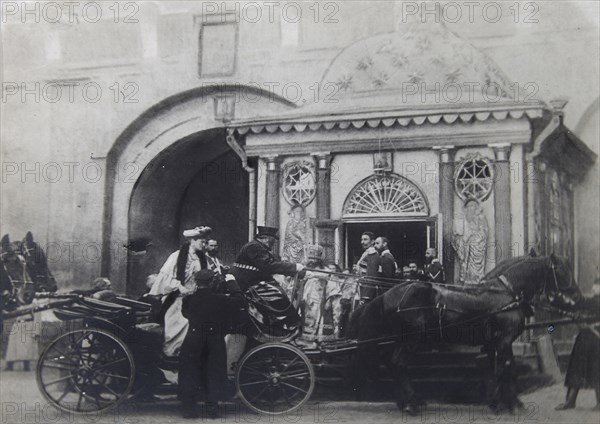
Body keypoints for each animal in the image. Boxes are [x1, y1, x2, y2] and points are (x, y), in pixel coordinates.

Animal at [346, 253, 580, 412]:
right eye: (561, 270)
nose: (577, 297)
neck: (505, 293)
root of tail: (388, 294)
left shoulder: (492, 343)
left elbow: (494, 369)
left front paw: (496, 402)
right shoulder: (505, 340)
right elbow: (508, 367)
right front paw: (513, 402)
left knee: (392, 364)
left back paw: (406, 402)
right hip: (412, 340)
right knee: (397, 363)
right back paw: (411, 403)